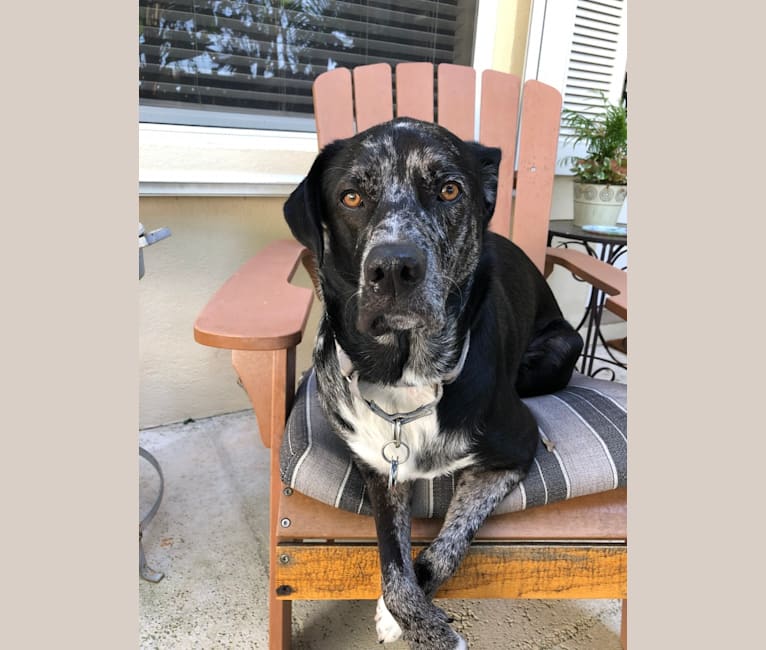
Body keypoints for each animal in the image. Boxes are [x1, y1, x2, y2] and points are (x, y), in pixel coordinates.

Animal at [286, 117, 584, 648]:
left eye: (449, 190)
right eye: (350, 197)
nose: (394, 268)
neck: (407, 376)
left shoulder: (514, 451)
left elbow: (451, 540)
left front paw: (410, 620)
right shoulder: (377, 471)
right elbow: (392, 565)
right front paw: (408, 616)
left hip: (557, 350)